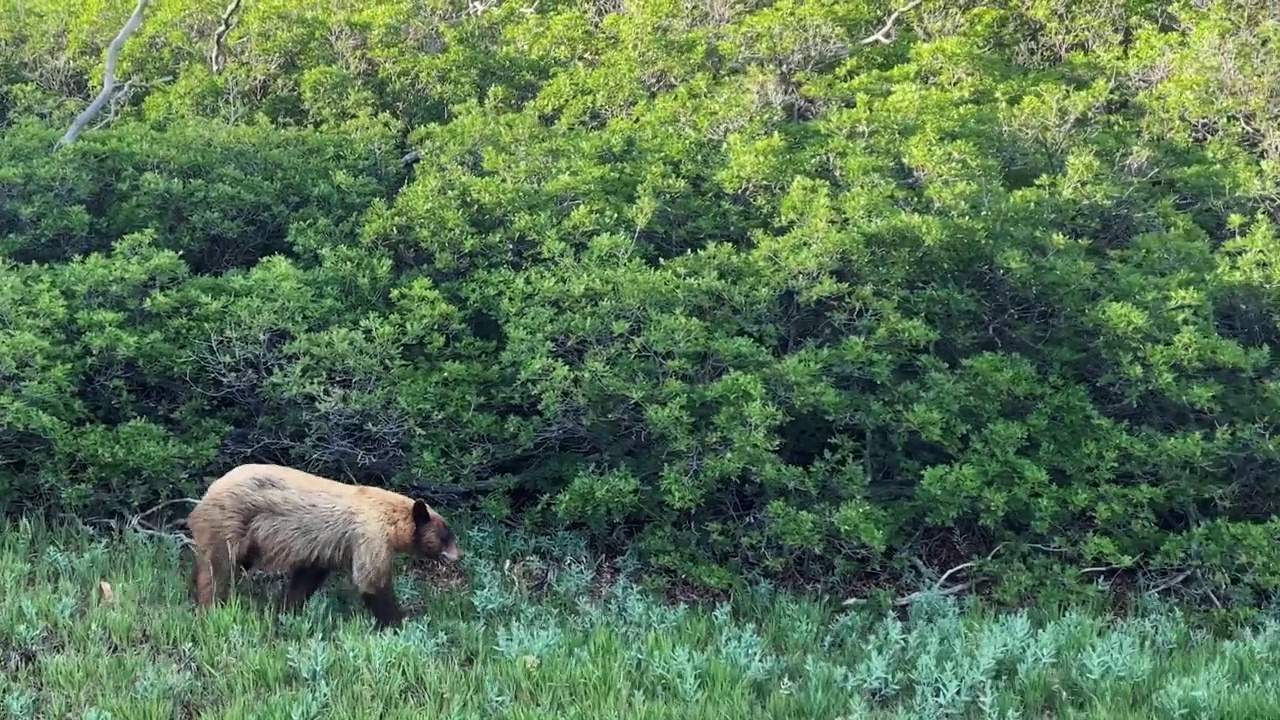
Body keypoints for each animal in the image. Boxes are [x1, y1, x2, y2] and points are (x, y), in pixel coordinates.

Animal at [185, 461, 465, 625]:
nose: (459, 554)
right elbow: (371, 579)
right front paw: (397, 621)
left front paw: (288, 610)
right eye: (446, 535)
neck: (392, 519)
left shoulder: (323, 548)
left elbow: (308, 576)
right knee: (217, 569)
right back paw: (210, 608)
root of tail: (207, 493)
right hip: (229, 521)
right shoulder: (370, 535)